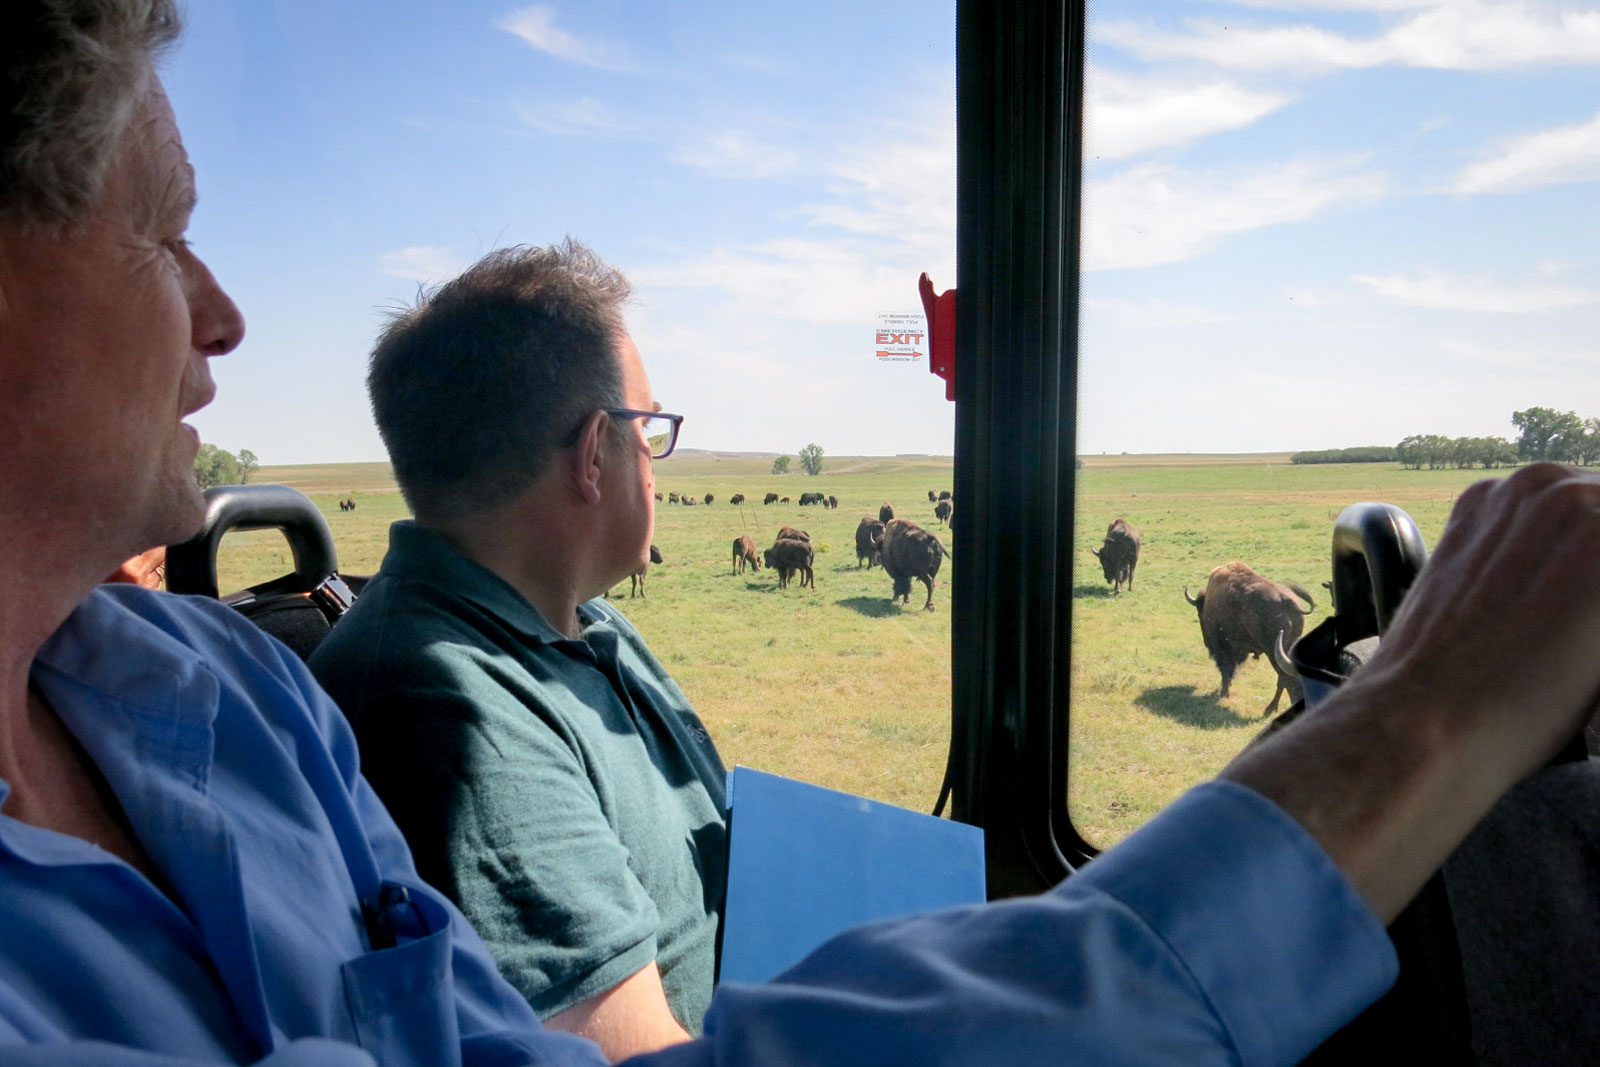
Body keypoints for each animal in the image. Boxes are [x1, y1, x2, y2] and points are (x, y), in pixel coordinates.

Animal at [1190, 559, 1312, 716]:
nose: (1206, 642)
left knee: (1286, 679)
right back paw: (1272, 708)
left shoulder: (1225, 648)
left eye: (1200, 613)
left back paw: (1271, 708)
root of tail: (1289, 603)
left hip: (1273, 652)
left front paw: (1223, 694)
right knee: (1285, 679)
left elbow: (1226, 670)